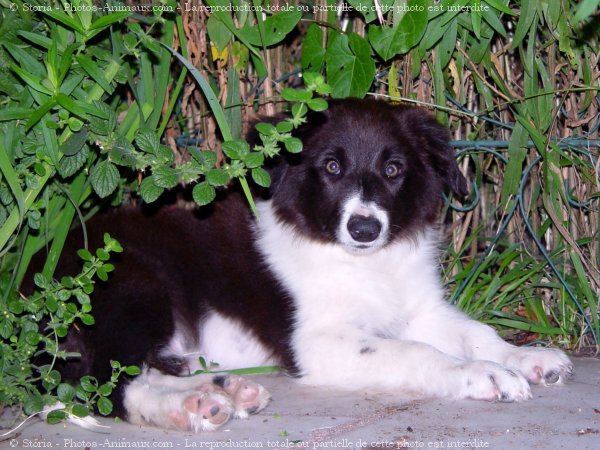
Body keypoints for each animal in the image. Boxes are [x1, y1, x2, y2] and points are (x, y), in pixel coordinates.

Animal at [50, 99, 572, 432]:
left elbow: (475, 332)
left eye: (393, 170)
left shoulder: (418, 309)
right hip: (136, 287)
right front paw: (482, 375)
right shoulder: (318, 343)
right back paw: (188, 405)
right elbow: (416, 352)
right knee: (103, 385)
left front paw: (525, 358)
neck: (361, 263)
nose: (364, 228)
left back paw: (223, 390)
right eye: (332, 168)